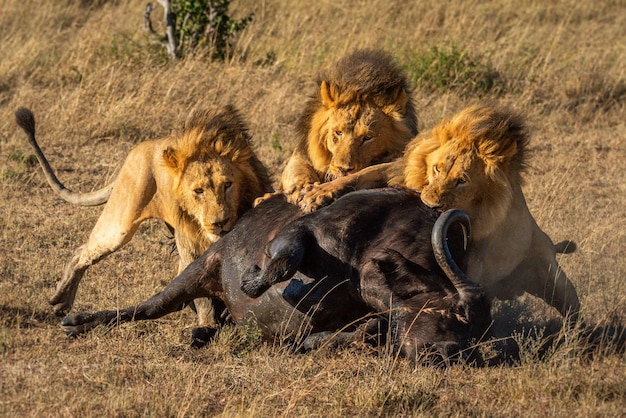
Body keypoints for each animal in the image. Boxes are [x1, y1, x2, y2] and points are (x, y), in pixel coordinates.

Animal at [15, 103, 270, 342]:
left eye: (227, 185)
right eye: (198, 191)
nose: (220, 222)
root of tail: (144, 145)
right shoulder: (188, 243)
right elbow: (202, 296)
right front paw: (207, 325)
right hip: (121, 222)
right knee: (82, 251)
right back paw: (61, 300)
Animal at [63, 188, 492, 364]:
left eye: (475, 333)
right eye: (454, 311)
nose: (448, 353)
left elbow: (351, 335)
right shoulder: (304, 230)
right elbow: (285, 261)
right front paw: (255, 281)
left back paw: (202, 333)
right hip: (199, 268)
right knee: (148, 307)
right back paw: (76, 320)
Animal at [272, 49, 414, 204]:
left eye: (367, 138)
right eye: (338, 133)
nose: (343, 169)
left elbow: (368, 171)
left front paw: (320, 192)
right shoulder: (301, 153)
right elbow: (297, 169)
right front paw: (302, 188)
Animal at [300, 103, 576, 322]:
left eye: (462, 181)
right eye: (437, 169)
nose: (430, 205)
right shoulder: (397, 170)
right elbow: (364, 173)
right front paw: (317, 194)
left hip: (549, 274)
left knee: (571, 301)